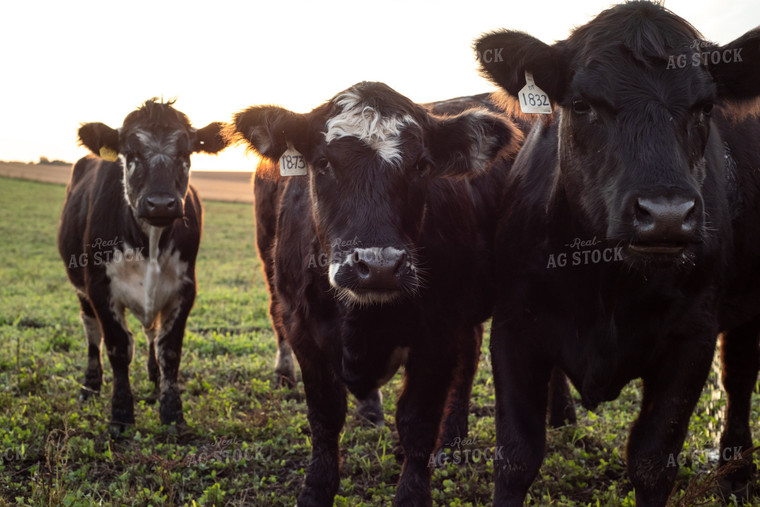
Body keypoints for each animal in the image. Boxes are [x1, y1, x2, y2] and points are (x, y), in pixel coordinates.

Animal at [233, 83, 528, 507]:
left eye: (422, 165)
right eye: (323, 163)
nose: (379, 266)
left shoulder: (437, 333)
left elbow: (418, 421)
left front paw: (412, 492)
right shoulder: (302, 330)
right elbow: (324, 417)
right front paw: (315, 490)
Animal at [478, 1, 760, 506]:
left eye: (706, 106)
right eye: (582, 104)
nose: (666, 214)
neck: (605, 283)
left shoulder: (694, 334)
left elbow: (651, 460)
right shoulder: (513, 325)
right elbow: (516, 455)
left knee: (741, 376)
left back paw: (736, 471)